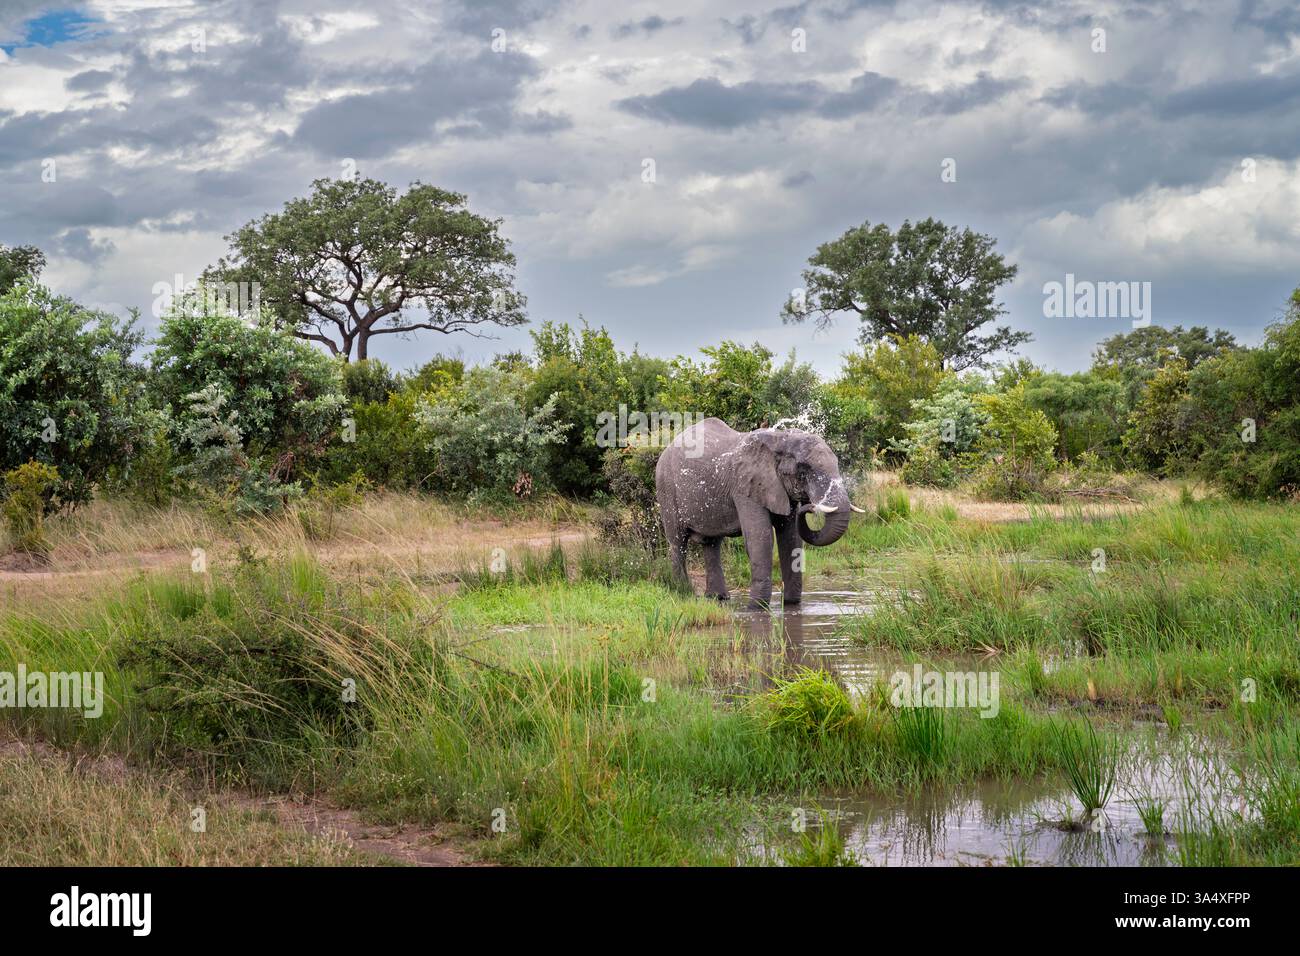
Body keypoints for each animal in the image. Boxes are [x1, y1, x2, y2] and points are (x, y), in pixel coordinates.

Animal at [655, 417, 863, 609]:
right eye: (803, 472)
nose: (808, 505)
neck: (780, 440)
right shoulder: (745, 486)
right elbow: (760, 538)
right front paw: (756, 608)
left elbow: (790, 539)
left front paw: (791, 605)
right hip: (666, 488)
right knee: (678, 542)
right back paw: (684, 592)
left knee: (712, 544)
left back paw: (718, 598)